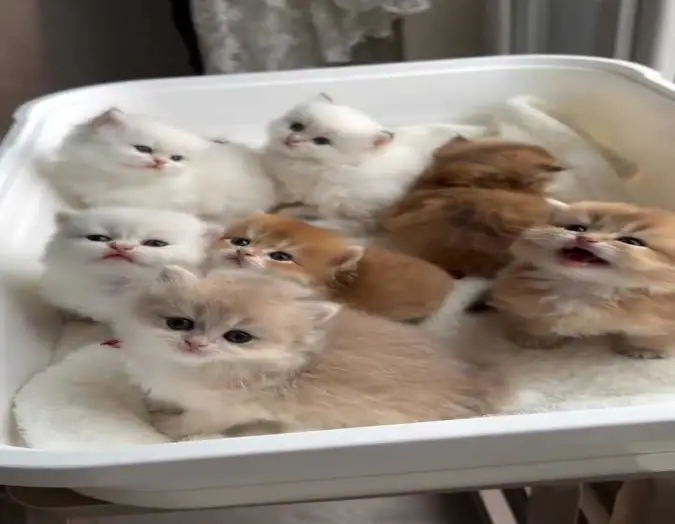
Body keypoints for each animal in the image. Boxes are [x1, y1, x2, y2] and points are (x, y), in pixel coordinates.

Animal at [114, 266, 502, 440]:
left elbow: (190, 422)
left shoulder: (227, 410)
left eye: (238, 337)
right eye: (179, 323)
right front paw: (158, 404)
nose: (196, 344)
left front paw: (165, 427)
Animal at [262, 95, 478, 228]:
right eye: (297, 126)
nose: (292, 139)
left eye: (322, 141)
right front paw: (285, 212)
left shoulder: (362, 216)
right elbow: (303, 207)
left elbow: (331, 225)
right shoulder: (319, 201)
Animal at [488, 200, 675, 359]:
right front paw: (535, 338)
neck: (584, 290)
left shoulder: (656, 319)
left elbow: (645, 335)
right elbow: (537, 322)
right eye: (578, 228)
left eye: (631, 241)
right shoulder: (527, 303)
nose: (585, 239)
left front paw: (643, 350)